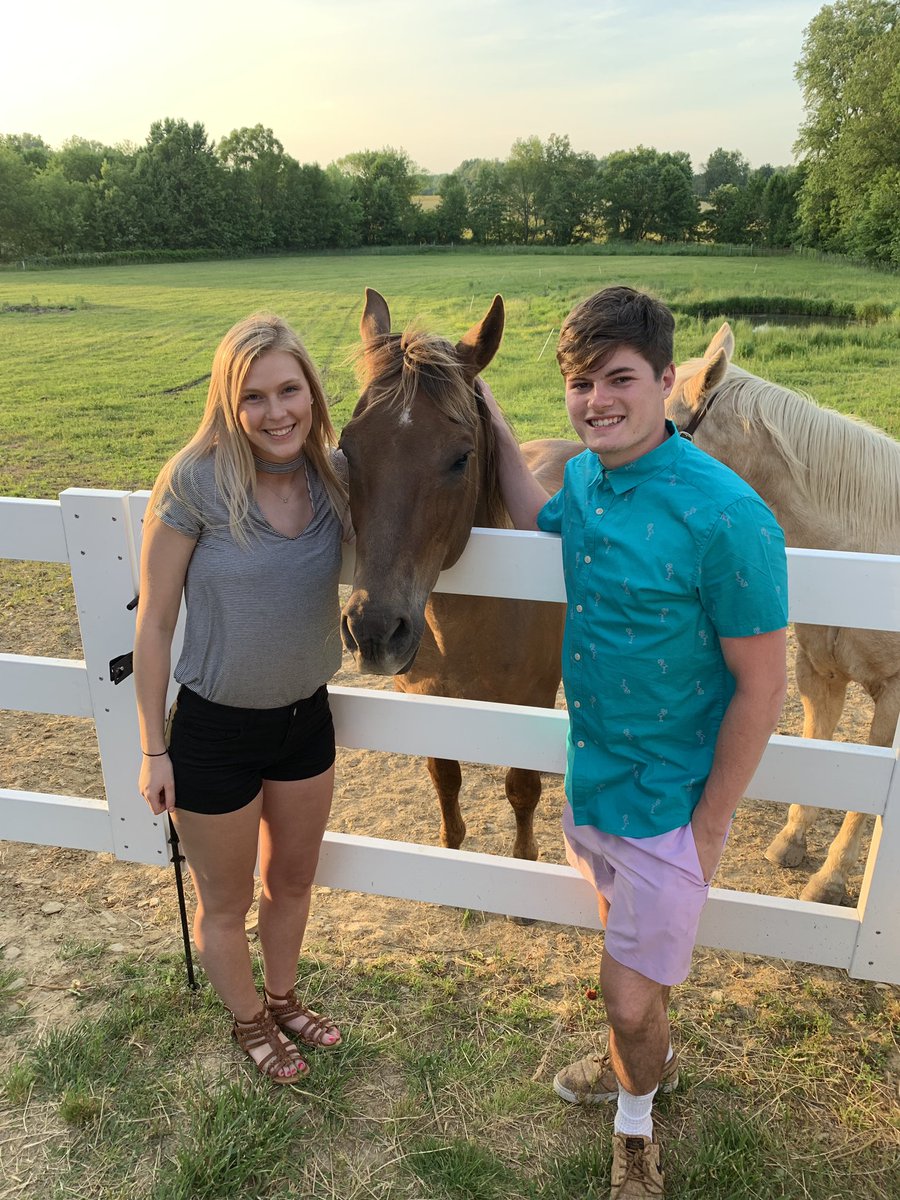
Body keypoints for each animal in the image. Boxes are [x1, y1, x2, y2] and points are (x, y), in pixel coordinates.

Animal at [339, 289, 573, 860]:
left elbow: (522, 790)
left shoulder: (530, 701)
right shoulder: (428, 702)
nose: (373, 631)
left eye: (461, 457)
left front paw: (525, 857)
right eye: (346, 448)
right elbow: (445, 779)